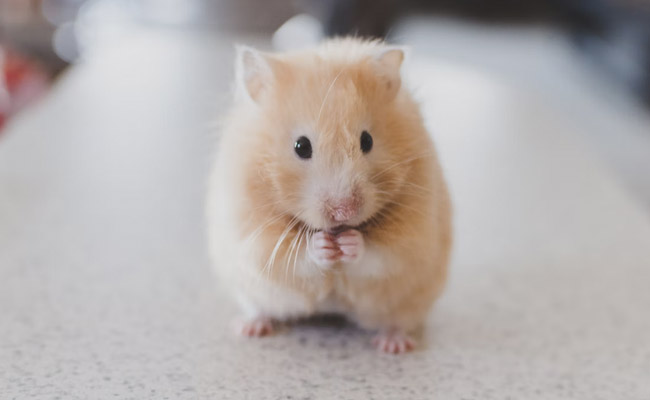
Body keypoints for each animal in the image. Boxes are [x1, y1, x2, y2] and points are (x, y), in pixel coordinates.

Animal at [206, 38, 452, 354]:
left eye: (367, 141)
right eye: (301, 146)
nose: (344, 212)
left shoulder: (413, 237)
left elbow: (380, 254)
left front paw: (349, 243)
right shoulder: (254, 235)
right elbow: (293, 256)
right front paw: (323, 245)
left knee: (398, 321)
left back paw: (393, 345)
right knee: (259, 308)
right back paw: (249, 328)